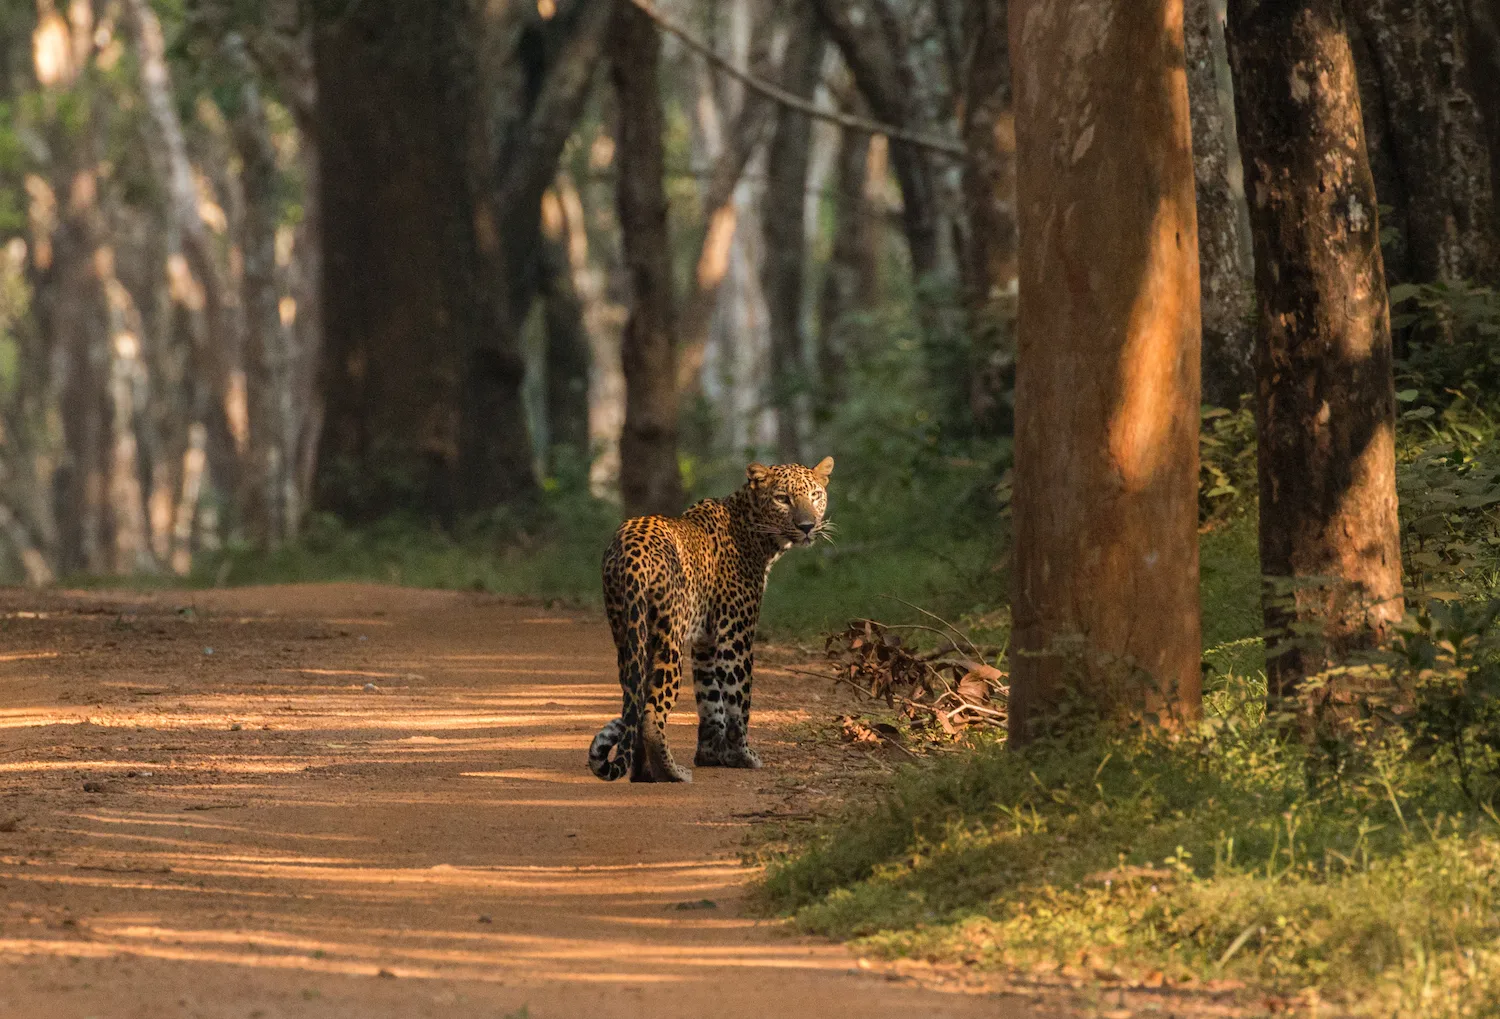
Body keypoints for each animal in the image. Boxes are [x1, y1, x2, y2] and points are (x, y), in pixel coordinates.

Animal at [588, 458, 834, 782]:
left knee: (636, 701)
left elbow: (710, 700)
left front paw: (711, 754)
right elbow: (738, 699)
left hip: (628, 633)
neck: (756, 535)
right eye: (783, 498)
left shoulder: (705, 641)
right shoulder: (735, 634)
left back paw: (644, 773)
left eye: (815, 495)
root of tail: (631, 550)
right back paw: (671, 772)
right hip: (669, 637)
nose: (807, 526)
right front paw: (742, 756)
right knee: (652, 711)